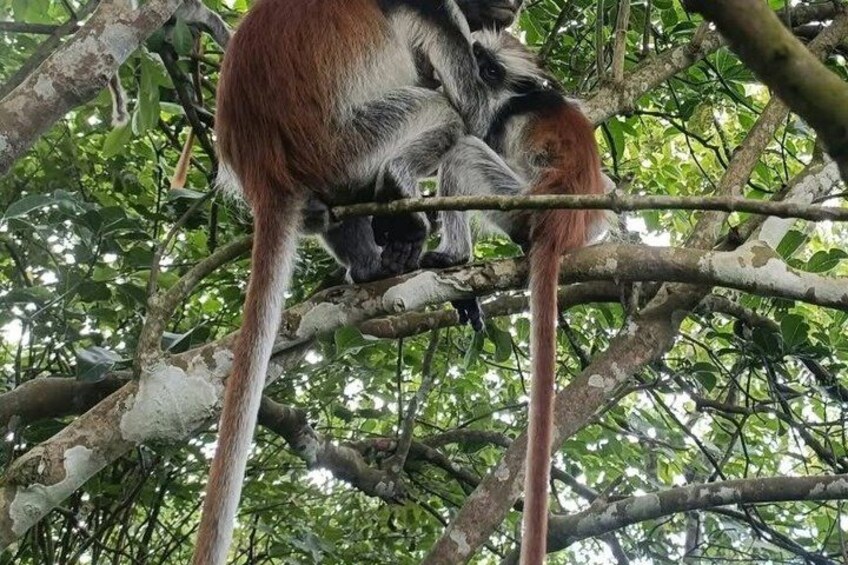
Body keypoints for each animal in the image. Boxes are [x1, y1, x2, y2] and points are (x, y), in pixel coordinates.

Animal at [191, 2, 523, 563]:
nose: (511, 11)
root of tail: (264, 173)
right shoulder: (437, 10)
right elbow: (475, 111)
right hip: (349, 141)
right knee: (442, 112)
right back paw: (403, 202)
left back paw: (377, 262)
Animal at [418, 30, 611, 563]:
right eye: (477, 57)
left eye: (489, 71)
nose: (469, 70)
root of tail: (557, 226)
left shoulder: (497, 121)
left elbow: (462, 134)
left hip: (516, 200)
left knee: (462, 151)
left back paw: (454, 257)